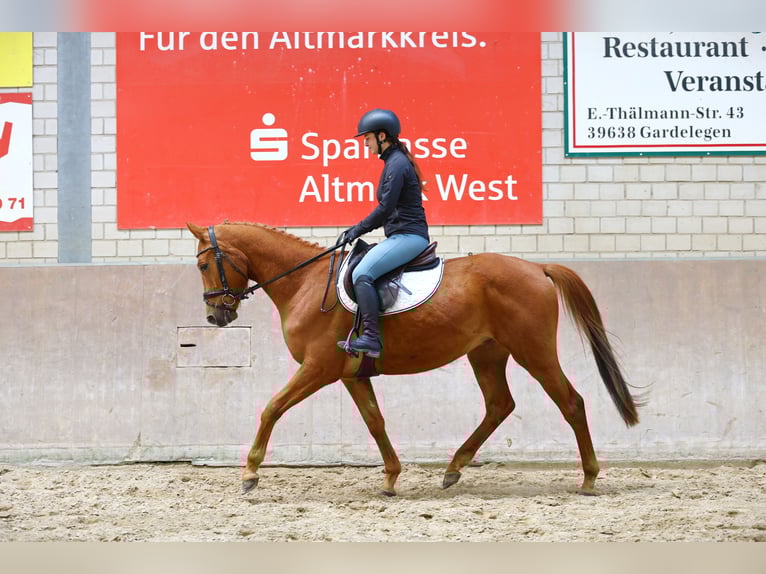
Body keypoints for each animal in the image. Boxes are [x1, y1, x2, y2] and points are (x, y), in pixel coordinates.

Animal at [187, 221, 642, 496]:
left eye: (206, 263)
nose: (215, 315)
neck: (305, 283)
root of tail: (537, 267)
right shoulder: (351, 375)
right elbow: (375, 422)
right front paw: (390, 477)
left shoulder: (317, 368)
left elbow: (272, 408)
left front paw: (249, 473)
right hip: (487, 354)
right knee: (500, 404)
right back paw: (454, 467)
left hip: (534, 351)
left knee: (571, 402)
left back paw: (589, 478)